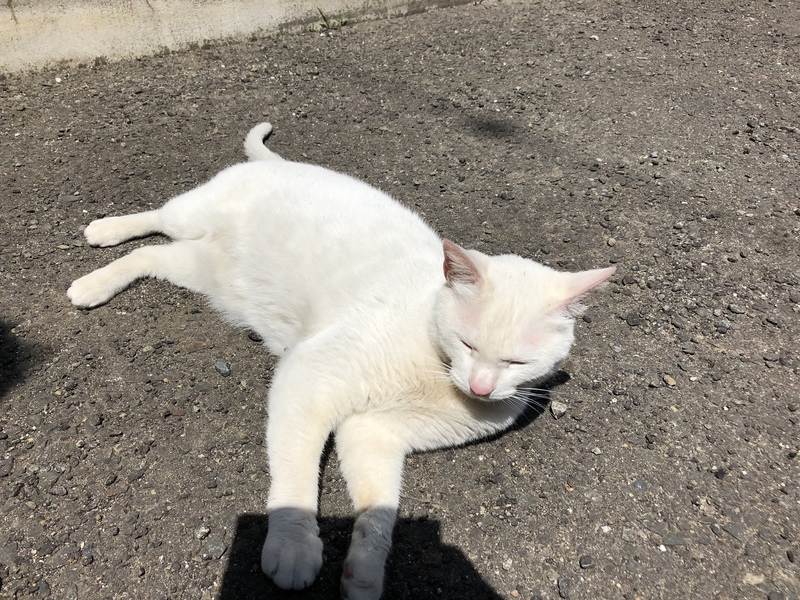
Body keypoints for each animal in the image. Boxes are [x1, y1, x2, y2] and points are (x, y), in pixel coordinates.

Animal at [68, 122, 615, 600]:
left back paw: (97, 283)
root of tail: (291, 164)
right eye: (468, 344)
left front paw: (364, 577)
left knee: (151, 257)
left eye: (518, 363)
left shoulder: (375, 434)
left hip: (205, 272)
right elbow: (295, 477)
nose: (481, 387)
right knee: (158, 218)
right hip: (195, 215)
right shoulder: (310, 378)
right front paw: (293, 547)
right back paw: (104, 234)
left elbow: (379, 514)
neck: (435, 371)